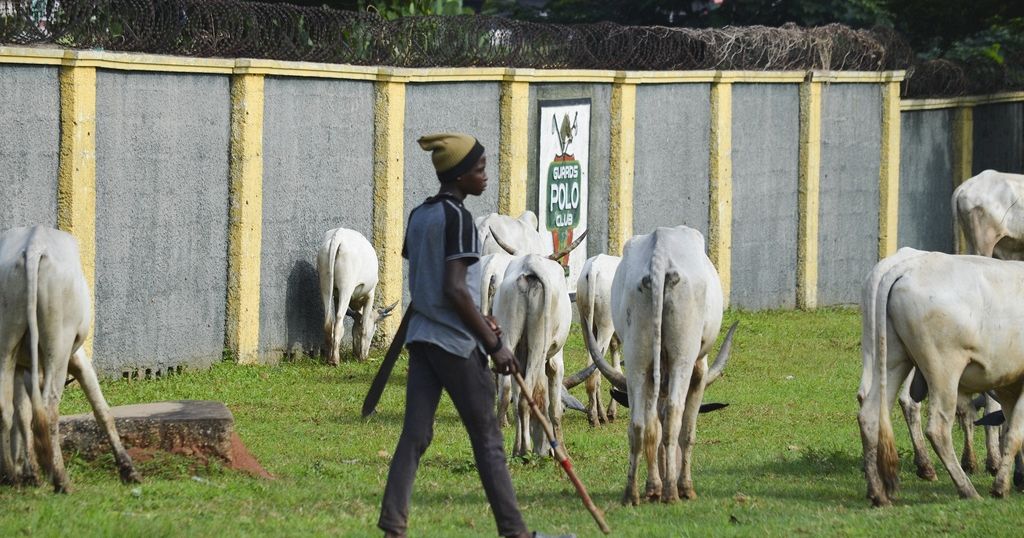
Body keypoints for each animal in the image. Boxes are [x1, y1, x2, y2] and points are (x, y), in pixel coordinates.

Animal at [0, 224, 140, 487]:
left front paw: (30, 472)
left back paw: (13, 476)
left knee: (6, 408)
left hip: (7, 344)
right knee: (49, 407)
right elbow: (103, 410)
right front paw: (128, 469)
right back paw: (61, 480)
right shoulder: (79, 358)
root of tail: (34, 243)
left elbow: (21, 414)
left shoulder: (22, 368)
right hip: (60, 344)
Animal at [315, 224, 395, 362]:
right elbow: (364, 327)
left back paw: (329, 358)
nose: (357, 353)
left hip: (325, 284)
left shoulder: (336, 297)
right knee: (339, 321)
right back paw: (335, 360)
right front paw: (362, 358)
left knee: (329, 321)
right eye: (375, 328)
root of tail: (339, 235)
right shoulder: (370, 294)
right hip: (346, 286)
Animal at [577, 254, 622, 426]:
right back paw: (597, 417)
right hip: (606, 325)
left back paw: (596, 414)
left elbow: (616, 370)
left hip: (586, 323)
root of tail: (594, 268)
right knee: (595, 370)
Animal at [860, 247, 1024, 504]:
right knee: (938, 428)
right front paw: (1000, 485)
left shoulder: (1009, 384)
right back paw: (966, 489)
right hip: (943, 369)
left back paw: (878, 493)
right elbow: (1015, 432)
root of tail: (907, 266)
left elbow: (1009, 429)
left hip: (891, 360)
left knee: (869, 414)